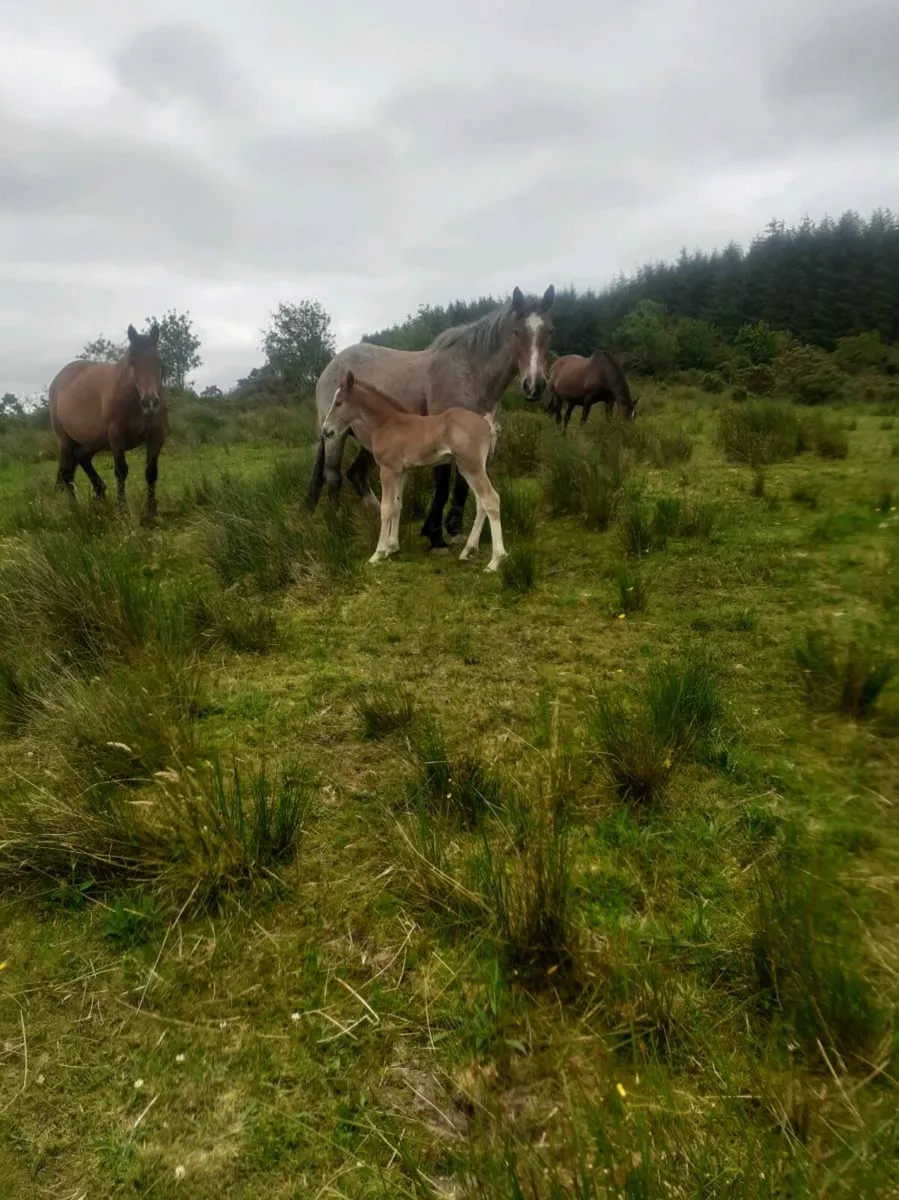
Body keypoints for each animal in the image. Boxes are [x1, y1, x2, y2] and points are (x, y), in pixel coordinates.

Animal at [49, 323, 167, 517]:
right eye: (132, 362)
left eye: (159, 361)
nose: (150, 403)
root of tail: (58, 380)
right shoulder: (116, 435)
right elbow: (120, 471)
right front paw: (121, 510)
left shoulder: (157, 434)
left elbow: (151, 472)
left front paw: (152, 511)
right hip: (65, 440)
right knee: (67, 474)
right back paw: (76, 510)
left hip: (93, 441)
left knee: (81, 458)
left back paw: (100, 493)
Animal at [307, 284, 555, 550]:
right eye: (517, 333)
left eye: (549, 331)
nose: (534, 385)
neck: (468, 373)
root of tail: (329, 368)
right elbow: (443, 484)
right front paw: (435, 535)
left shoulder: (469, 443)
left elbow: (462, 485)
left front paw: (453, 529)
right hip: (335, 435)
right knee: (333, 477)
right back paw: (338, 525)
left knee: (357, 475)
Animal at [321, 369, 506, 571]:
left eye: (338, 402)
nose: (326, 430)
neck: (387, 423)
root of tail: (486, 422)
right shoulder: (401, 472)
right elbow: (397, 505)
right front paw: (392, 547)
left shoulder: (387, 470)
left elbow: (385, 508)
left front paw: (378, 553)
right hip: (470, 468)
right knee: (481, 503)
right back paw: (468, 550)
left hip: (471, 466)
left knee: (491, 499)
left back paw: (495, 561)